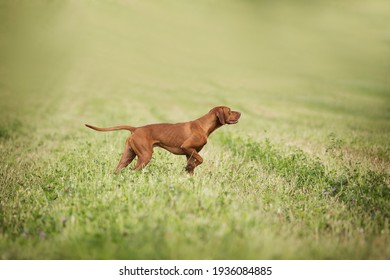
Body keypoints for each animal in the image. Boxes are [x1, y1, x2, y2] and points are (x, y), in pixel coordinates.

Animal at [85, 105, 241, 174]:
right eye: (229, 111)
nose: (240, 112)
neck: (204, 125)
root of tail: (136, 129)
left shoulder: (189, 154)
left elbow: (192, 166)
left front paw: (189, 172)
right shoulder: (187, 147)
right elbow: (201, 160)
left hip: (127, 156)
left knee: (118, 169)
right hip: (145, 156)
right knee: (133, 170)